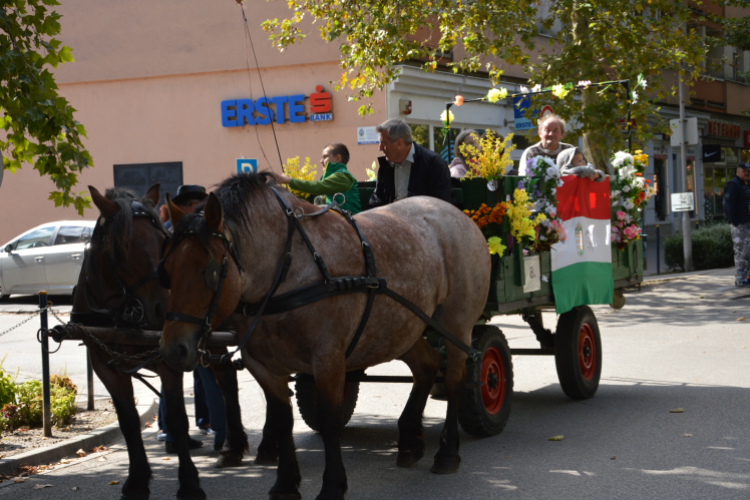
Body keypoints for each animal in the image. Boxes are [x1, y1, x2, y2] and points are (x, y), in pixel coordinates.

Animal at [70, 186, 250, 498]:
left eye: (162, 243)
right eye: (122, 248)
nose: (162, 308)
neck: (121, 313)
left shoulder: (170, 361)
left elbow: (178, 419)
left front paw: (189, 483)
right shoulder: (105, 367)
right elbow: (128, 421)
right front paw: (137, 479)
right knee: (226, 378)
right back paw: (232, 445)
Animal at [157, 173, 494, 500]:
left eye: (212, 271)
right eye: (166, 270)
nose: (173, 349)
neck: (285, 268)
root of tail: (456, 214)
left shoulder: (328, 359)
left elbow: (330, 421)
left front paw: (332, 485)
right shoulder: (262, 365)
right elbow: (282, 420)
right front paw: (286, 482)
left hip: (455, 325)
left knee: (454, 378)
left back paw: (448, 451)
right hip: (402, 329)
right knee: (426, 365)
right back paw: (410, 440)